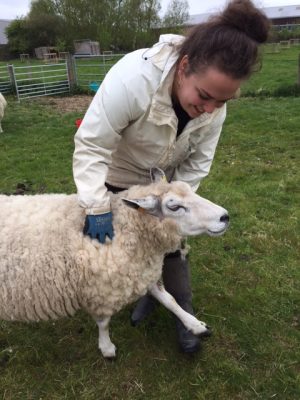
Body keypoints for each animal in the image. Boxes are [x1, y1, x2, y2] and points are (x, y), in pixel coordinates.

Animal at [0, 169, 229, 356]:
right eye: (174, 206)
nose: (225, 217)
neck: (126, 228)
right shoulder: (101, 289)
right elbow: (103, 323)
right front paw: (107, 347)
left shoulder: (141, 270)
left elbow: (170, 299)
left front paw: (194, 324)